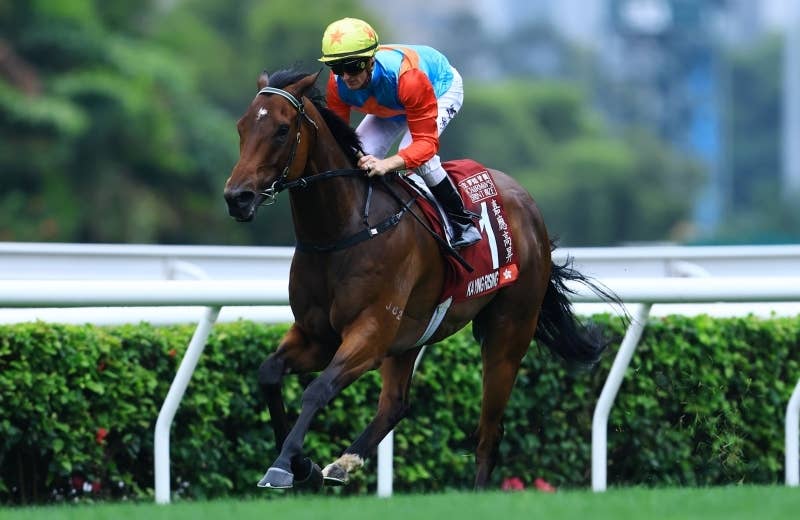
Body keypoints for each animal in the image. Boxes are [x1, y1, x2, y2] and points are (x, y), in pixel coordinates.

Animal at [223, 68, 619, 491]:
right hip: (410, 336)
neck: (343, 231)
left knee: (489, 433)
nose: (237, 197)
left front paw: (285, 465)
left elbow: (318, 390)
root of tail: (529, 206)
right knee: (396, 405)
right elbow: (268, 373)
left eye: (282, 130)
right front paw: (301, 463)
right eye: (242, 126)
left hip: (508, 333)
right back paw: (343, 463)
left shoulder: (370, 333)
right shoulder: (317, 336)